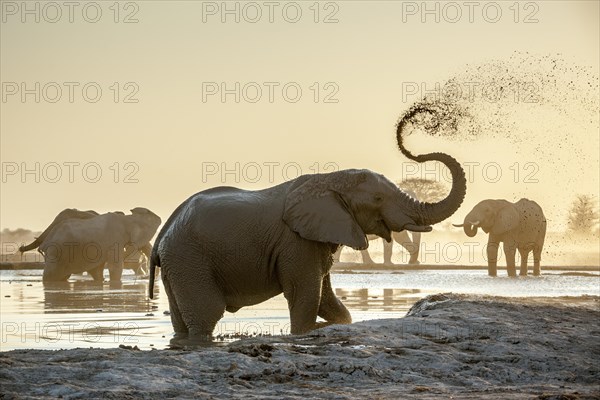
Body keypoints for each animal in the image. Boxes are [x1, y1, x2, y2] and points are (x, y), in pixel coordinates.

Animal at [150, 130, 468, 342]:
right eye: (378, 198)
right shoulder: (296, 242)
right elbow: (305, 293)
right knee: (206, 313)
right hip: (189, 259)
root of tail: (164, 234)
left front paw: (334, 325)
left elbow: (327, 298)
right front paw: (307, 332)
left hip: (177, 263)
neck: (330, 179)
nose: (411, 148)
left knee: (181, 318)